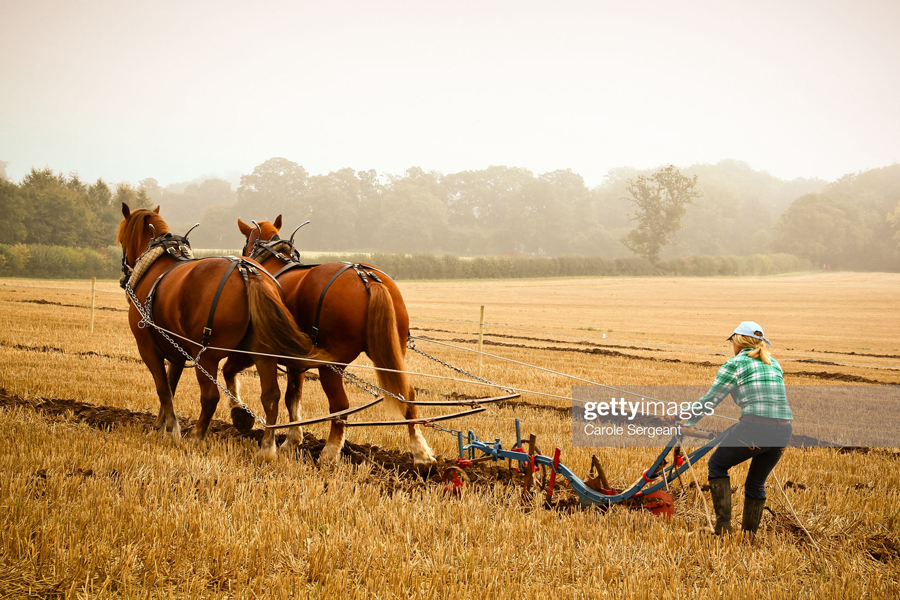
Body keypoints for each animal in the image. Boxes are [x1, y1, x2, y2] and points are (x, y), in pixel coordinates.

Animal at [117, 204, 330, 462]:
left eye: (122, 238)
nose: (123, 274)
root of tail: (247, 272)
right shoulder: (176, 353)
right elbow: (170, 386)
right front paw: (162, 426)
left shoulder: (147, 348)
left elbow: (163, 388)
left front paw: (171, 429)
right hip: (262, 353)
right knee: (271, 396)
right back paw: (267, 447)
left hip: (205, 356)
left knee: (210, 397)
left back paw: (196, 436)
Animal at [220, 214, 434, 464]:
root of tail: (366, 277)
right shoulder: (296, 363)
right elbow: (293, 397)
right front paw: (292, 440)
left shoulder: (254, 351)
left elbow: (230, 371)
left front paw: (239, 412)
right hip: (393, 353)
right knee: (407, 395)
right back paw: (420, 452)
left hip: (331, 365)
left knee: (340, 405)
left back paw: (329, 453)